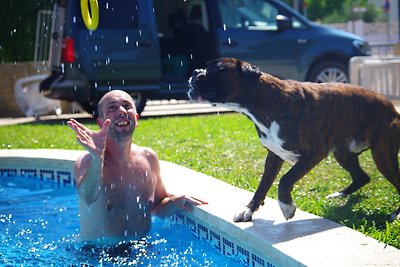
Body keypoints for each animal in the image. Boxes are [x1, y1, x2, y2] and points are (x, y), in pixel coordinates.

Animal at [188, 58, 400, 222]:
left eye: (216, 69)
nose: (195, 71)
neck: (264, 102)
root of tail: (392, 108)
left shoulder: (315, 152)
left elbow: (285, 179)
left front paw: (287, 207)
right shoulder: (274, 156)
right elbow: (263, 185)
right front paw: (249, 210)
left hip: (383, 155)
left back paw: (396, 215)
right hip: (344, 154)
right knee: (362, 177)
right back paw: (338, 196)